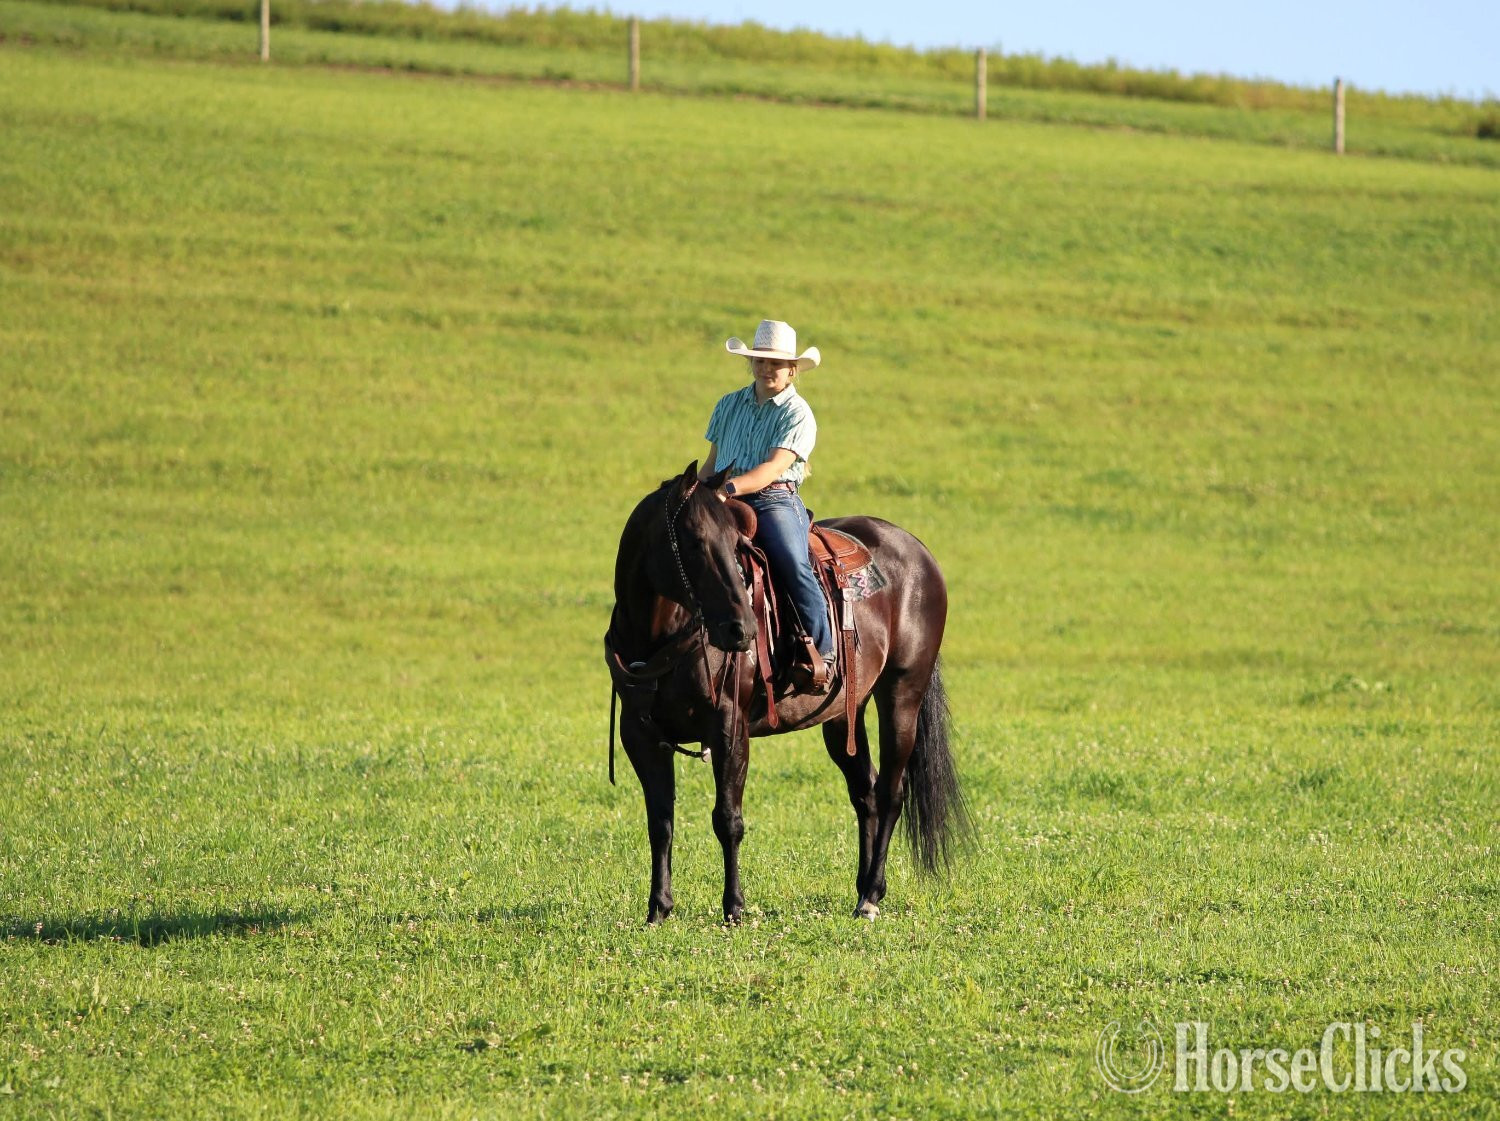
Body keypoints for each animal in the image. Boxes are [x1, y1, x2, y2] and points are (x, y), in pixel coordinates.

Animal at [604, 462, 968, 924]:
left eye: (737, 545)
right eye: (695, 541)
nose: (742, 629)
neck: (659, 636)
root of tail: (918, 551)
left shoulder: (730, 728)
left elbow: (728, 819)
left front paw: (734, 908)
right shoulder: (640, 735)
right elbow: (660, 822)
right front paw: (658, 909)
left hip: (902, 694)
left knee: (890, 792)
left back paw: (871, 895)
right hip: (843, 715)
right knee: (865, 791)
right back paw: (863, 889)